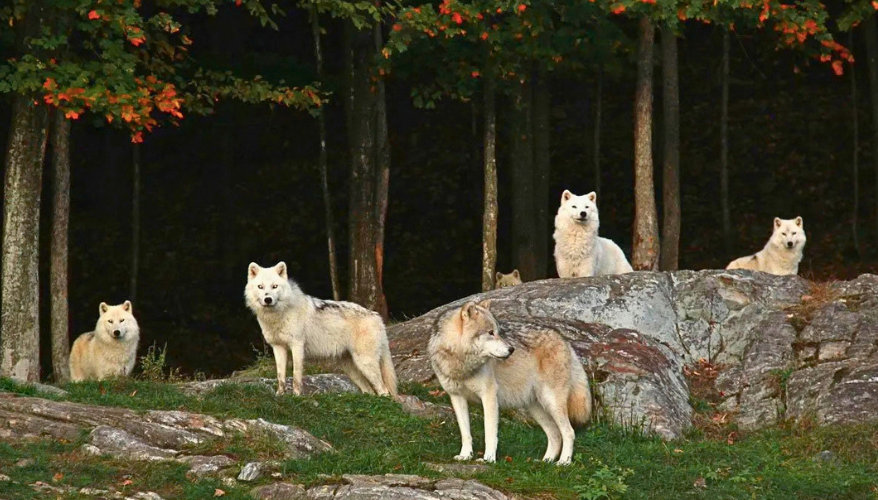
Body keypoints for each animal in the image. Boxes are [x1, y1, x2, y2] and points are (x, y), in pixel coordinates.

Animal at [244, 261, 397, 397]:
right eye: (260, 287)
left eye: (274, 286)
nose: (268, 299)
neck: (279, 314)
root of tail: (377, 317)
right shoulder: (278, 347)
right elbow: (280, 376)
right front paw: (279, 396)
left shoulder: (297, 346)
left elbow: (296, 376)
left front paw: (296, 396)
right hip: (351, 368)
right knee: (370, 391)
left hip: (365, 363)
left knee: (384, 391)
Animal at [428, 301, 592, 465]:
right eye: (490, 333)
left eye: (498, 332)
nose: (511, 349)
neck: (461, 364)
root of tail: (564, 340)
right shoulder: (456, 397)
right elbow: (465, 433)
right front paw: (465, 456)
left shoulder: (489, 396)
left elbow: (490, 433)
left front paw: (488, 459)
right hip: (536, 408)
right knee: (555, 434)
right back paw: (545, 461)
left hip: (551, 402)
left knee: (569, 432)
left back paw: (564, 462)